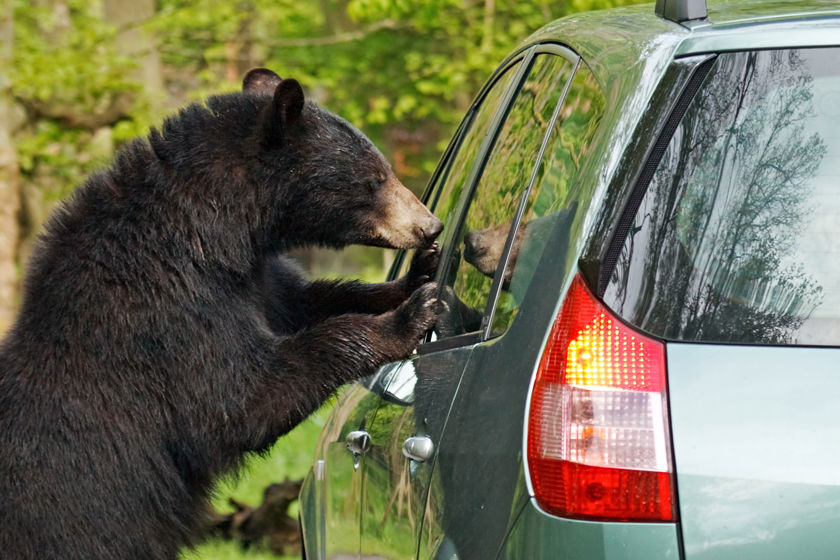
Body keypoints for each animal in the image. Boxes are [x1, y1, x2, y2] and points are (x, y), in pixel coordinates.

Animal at [0, 67, 444, 560]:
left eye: (384, 169)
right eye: (374, 178)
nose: (430, 225)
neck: (214, 229)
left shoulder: (254, 279)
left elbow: (305, 300)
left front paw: (416, 277)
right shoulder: (167, 307)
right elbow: (237, 400)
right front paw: (407, 318)